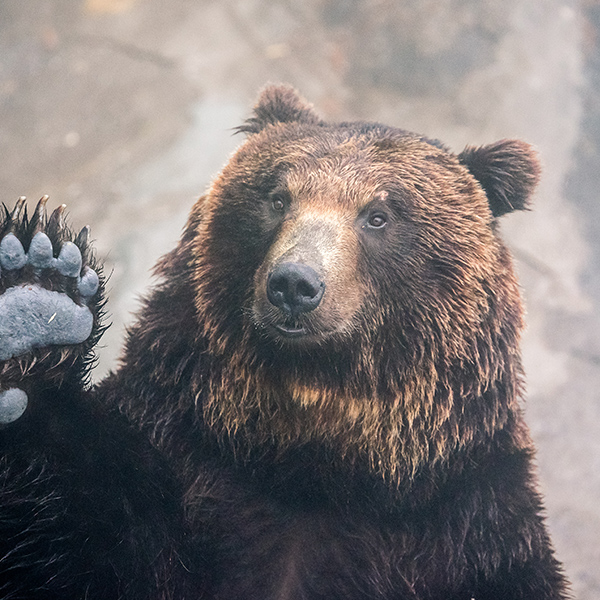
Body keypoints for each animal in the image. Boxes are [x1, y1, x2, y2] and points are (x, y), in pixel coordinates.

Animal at [0, 85, 568, 600]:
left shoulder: (467, 524)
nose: (294, 283)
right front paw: (37, 296)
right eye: (278, 198)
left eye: (378, 215)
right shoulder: (172, 451)